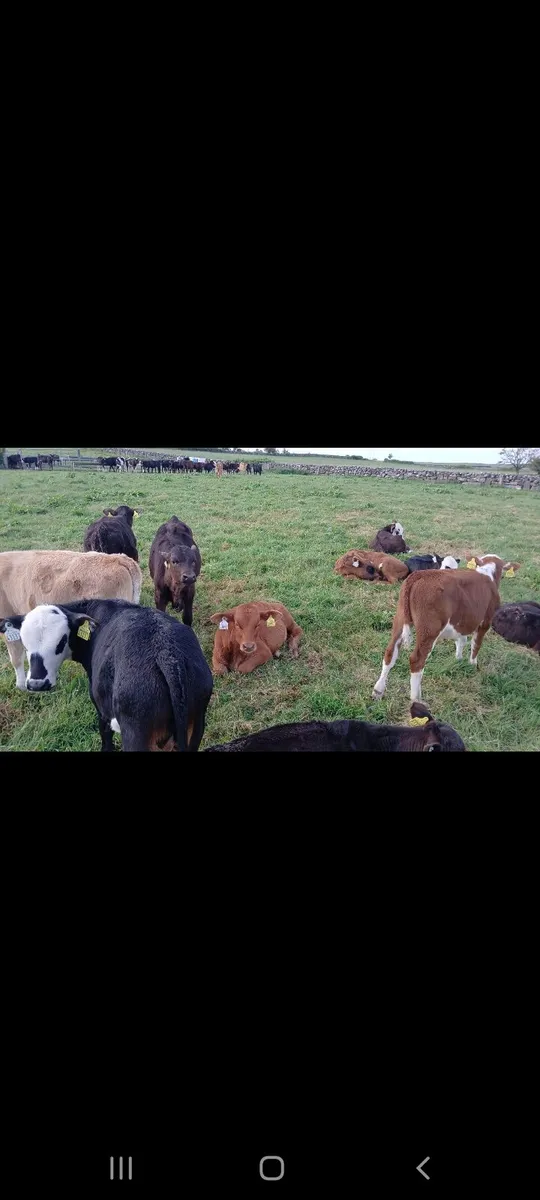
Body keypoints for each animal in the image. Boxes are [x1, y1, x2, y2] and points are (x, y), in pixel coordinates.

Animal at [0, 599, 213, 751]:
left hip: (137, 734)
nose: (37, 684)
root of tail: (167, 655)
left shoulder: (102, 712)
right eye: (25, 643)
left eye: (61, 641)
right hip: (195, 724)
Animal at [372, 554, 522, 703]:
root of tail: (418, 575)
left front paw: (458, 660)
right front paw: (472, 665)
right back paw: (416, 699)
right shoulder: (485, 622)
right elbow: (476, 645)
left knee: (390, 653)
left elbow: (461, 640)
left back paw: (378, 691)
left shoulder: (462, 622)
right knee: (417, 661)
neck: (487, 573)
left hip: (400, 619)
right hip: (429, 630)